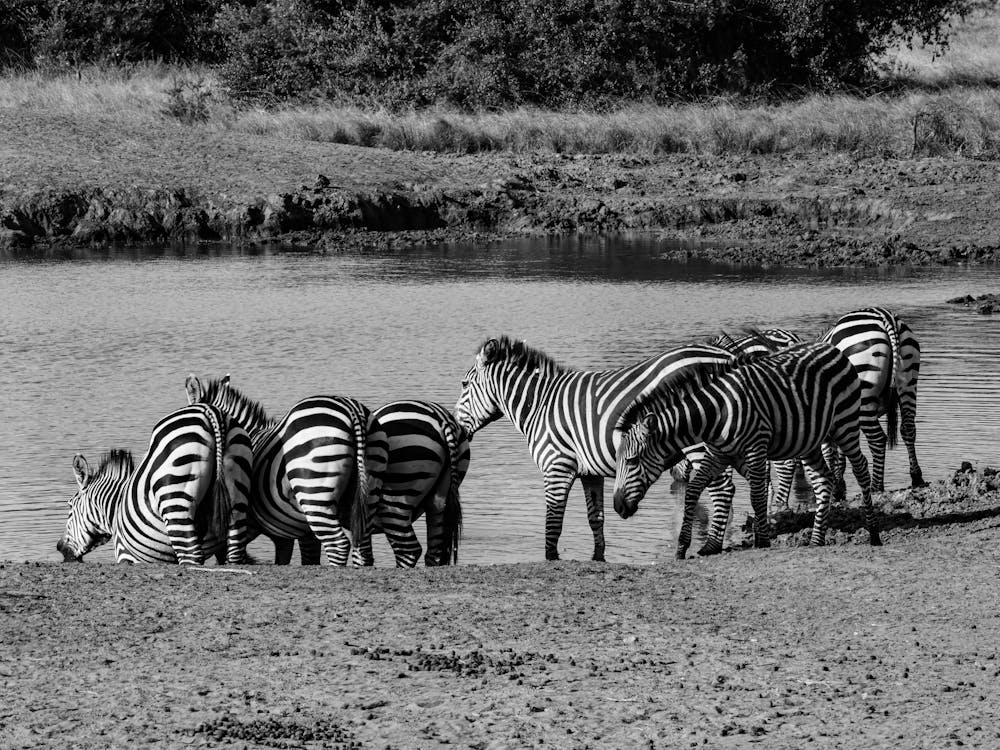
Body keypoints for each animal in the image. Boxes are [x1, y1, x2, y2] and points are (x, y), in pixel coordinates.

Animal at [57, 403, 253, 564]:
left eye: (70, 506)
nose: (59, 547)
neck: (114, 509)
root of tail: (208, 411)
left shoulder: (125, 554)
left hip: (176, 503)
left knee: (191, 556)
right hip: (237, 499)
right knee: (235, 553)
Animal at [184, 375, 388, 566]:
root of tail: (351, 409)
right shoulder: (289, 534)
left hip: (314, 493)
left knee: (338, 545)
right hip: (368, 493)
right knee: (363, 550)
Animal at [453, 336, 742, 562]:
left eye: (464, 385)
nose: (456, 427)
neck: (540, 404)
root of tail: (725, 353)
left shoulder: (556, 466)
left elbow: (553, 523)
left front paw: (551, 557)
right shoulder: (590, 472)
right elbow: (596, 518)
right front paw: (598, 555)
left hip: (698, 440)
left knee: (720, 488)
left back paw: (709, 546)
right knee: (726, 487)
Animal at [613, 341, 881, 558]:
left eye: (633, 461)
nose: (617, 507)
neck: (716, 412)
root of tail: (832, 348)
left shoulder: (755, 446)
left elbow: (756, 495)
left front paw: (762, 541)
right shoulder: (718, 454)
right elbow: (693, 491)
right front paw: (682, 547)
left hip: (845, 424)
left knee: (861, 468)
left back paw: (873, 533)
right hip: (810, 441)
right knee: (823, 480)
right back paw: (817, 539)